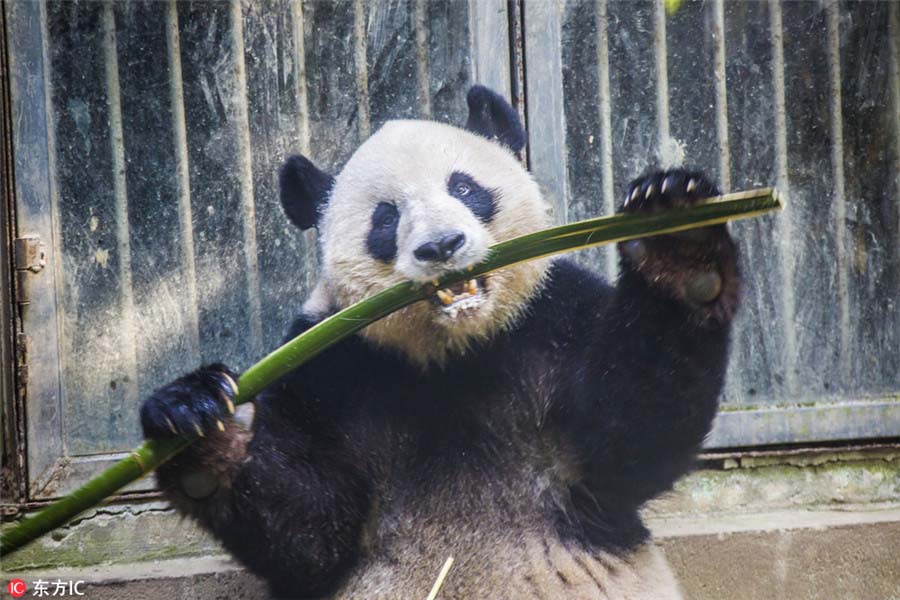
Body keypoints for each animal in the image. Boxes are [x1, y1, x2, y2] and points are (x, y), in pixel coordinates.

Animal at [139, 85, 740, 600]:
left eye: (465, 188)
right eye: (386, 218)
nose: (442, 245)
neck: (456, 352)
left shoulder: (557, 320)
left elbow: (631, 439)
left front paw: (679, 241)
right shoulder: (327, 365)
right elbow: (311, 529)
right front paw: (199, 422)